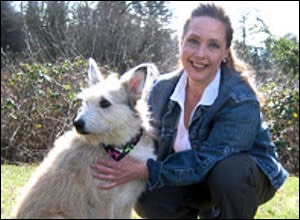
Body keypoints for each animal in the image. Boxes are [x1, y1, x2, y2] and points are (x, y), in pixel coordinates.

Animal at [10, 58, 158, 218]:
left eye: (105, 102)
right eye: (86, 102)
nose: (77, 124)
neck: (120, 147)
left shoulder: (125, 204)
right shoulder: (103, 202)